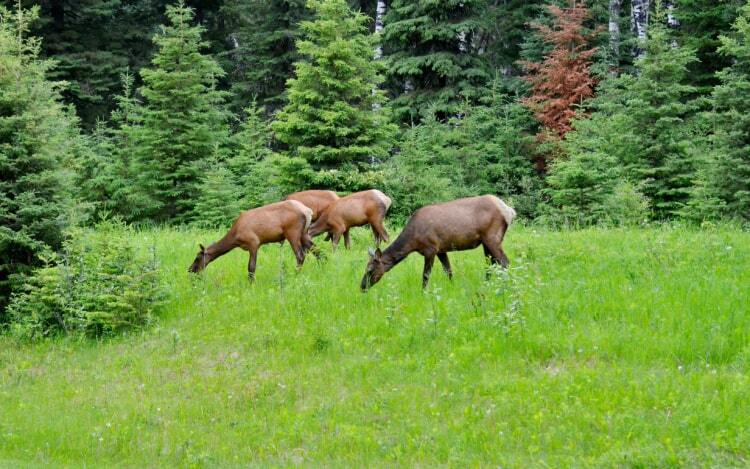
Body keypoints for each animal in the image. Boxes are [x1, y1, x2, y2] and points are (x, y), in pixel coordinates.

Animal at [360, 194, 516, 288]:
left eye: (370, 270)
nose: (362, 287)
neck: (412, 242)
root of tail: (509, 211)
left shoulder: (431, 249)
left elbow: (425, 275)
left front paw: (423, 293)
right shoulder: (441, 249)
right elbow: (448, 270)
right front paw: (452, 287)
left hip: (492, 237)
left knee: (504, 261)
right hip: (486, 241)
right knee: (491, 263)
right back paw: (487, 283)